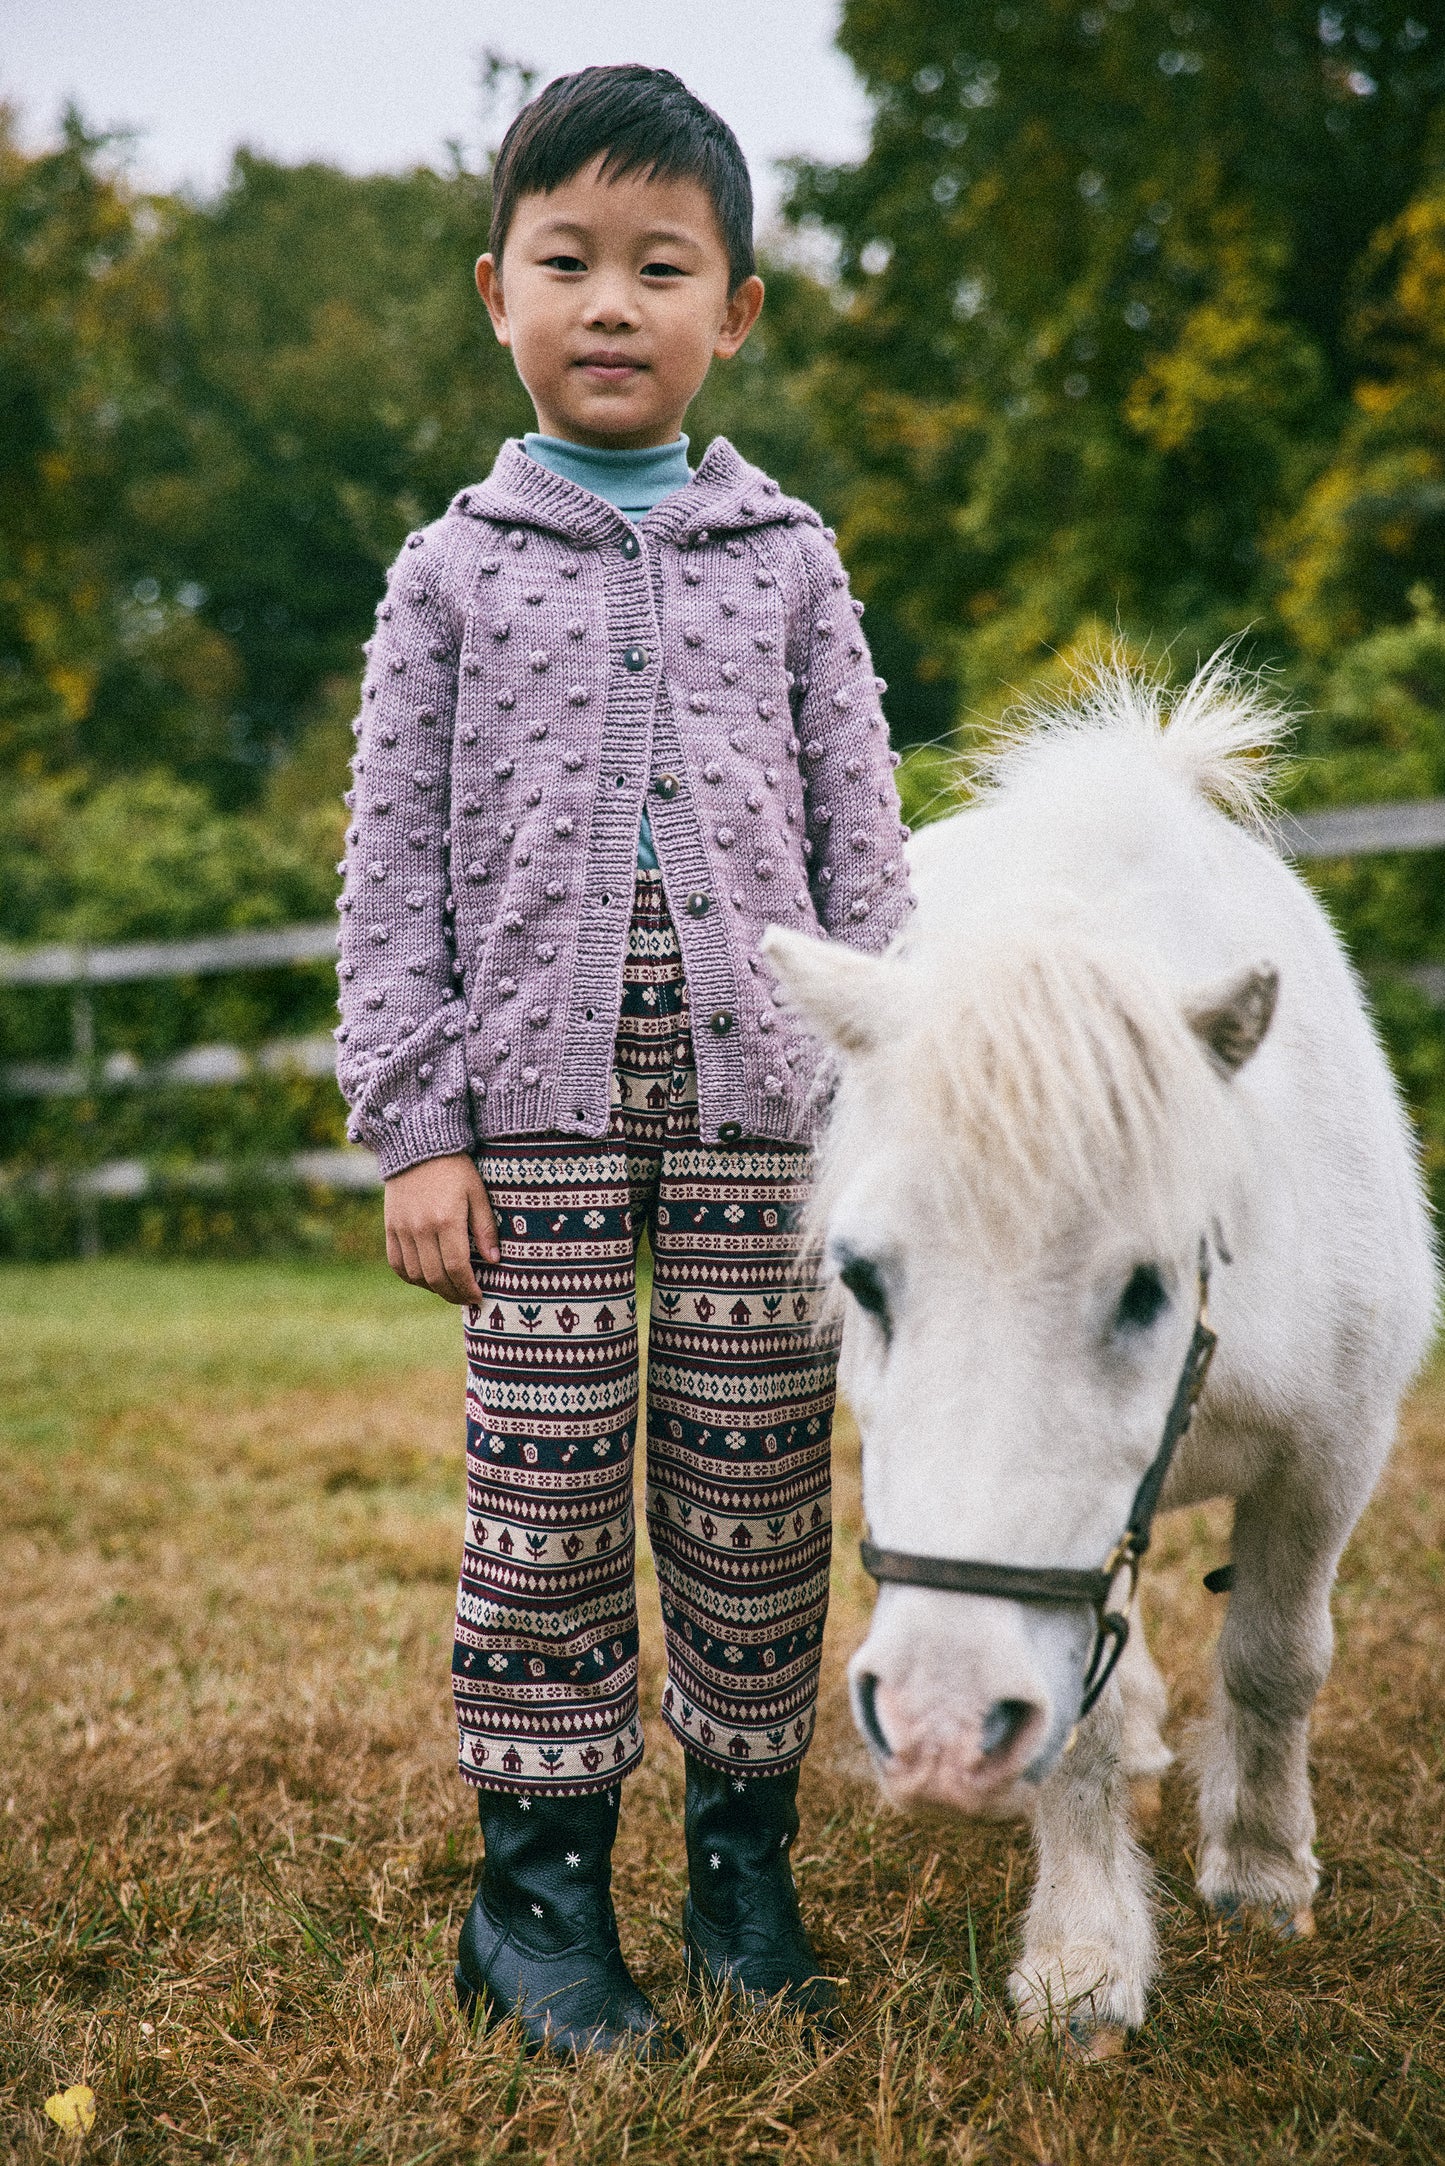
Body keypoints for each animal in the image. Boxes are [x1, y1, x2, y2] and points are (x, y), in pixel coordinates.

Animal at [762, 667, 1438, 2053]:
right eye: (862, 1279)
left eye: (1144, 1287)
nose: (936, 1731)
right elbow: (1076, 1724)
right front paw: (1083, 1961)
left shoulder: (1333, 1456)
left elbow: (1277, 1661)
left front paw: (1261, 1878)